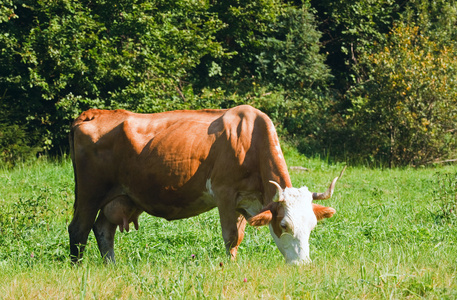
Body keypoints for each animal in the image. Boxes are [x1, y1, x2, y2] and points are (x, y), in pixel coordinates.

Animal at [68, 104, 342, 264]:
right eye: (284, 225)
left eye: (312, 225)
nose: (302, 264)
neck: (250, 140)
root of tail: (93, 113)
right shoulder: (225, 194)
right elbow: (231, 237)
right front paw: (230, 268)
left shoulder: (246, 201)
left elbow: (239, 236)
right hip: (90, 193)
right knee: (79, 229)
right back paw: (78, 267)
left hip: (119, 197)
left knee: (103, 230)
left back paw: (111, 266)